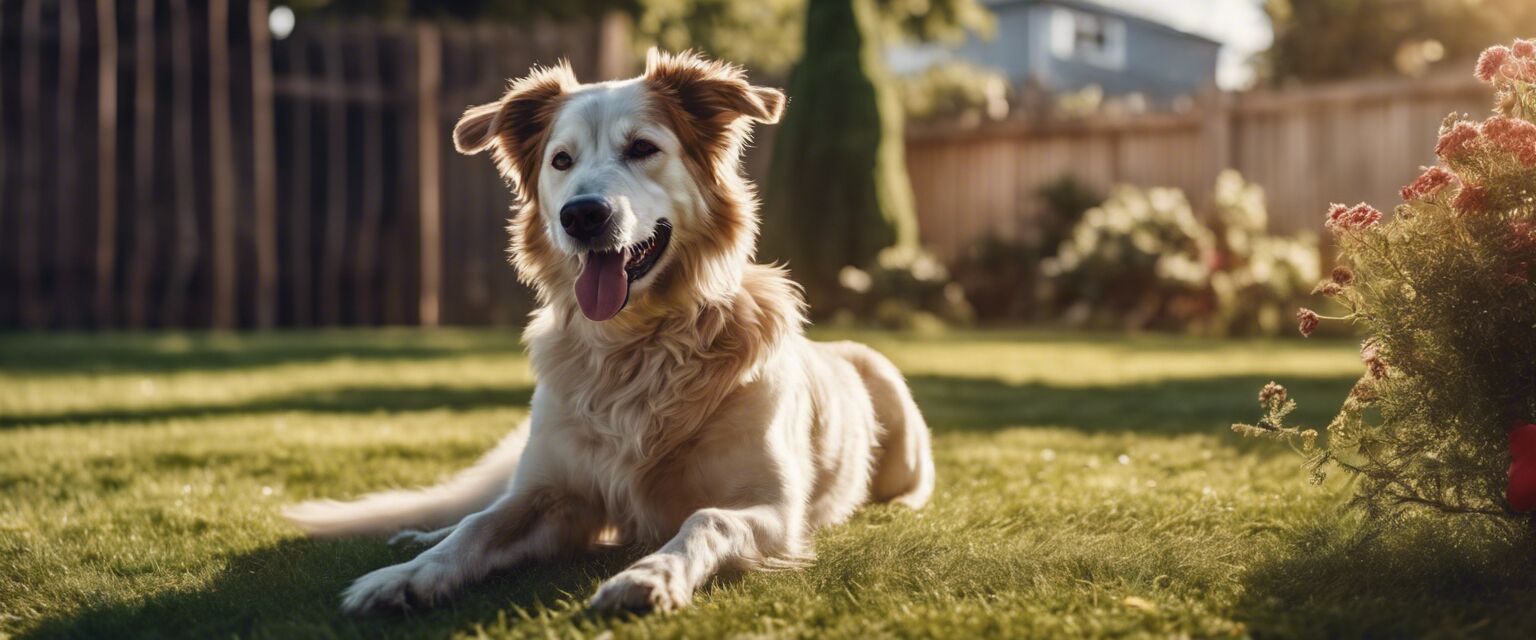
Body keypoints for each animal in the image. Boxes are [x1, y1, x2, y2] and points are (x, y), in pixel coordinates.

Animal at [287, 51, 933, 613]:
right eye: (561, 161)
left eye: (642, 148)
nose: (582, 215)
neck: (635, 346)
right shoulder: (554, 494)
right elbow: (479, 524)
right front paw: (407, 576)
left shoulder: (772, 510)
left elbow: (705, 519)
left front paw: (650, 575)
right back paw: (421, 536)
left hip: (890, 394)